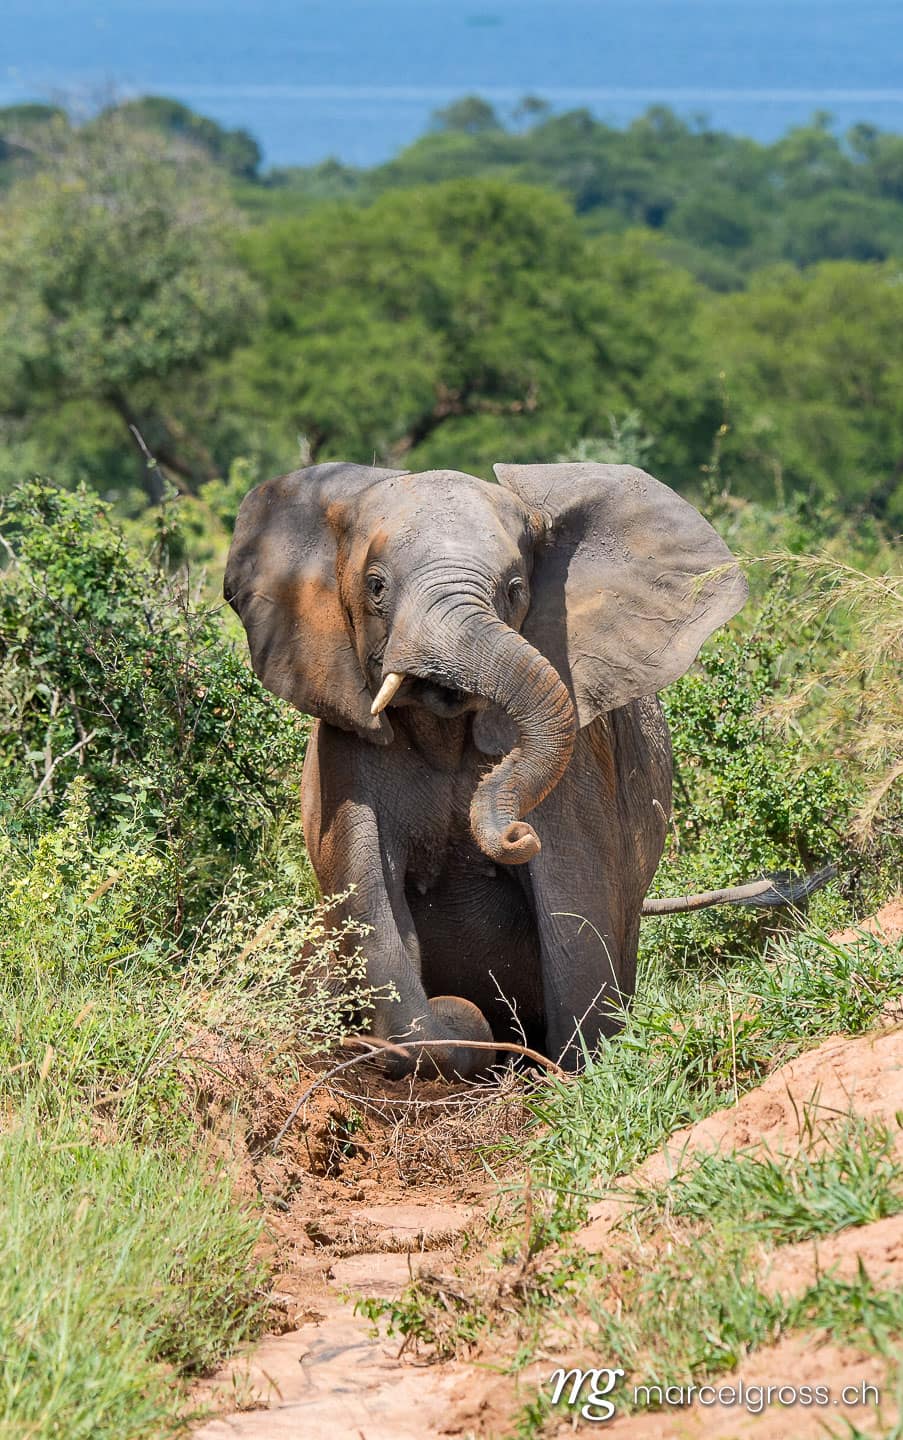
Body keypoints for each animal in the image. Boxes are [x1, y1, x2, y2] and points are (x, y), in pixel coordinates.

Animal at [224, 460, 748, 1078]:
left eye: (516, 590)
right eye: (376, 587)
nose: (514, 832)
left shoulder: (580, 758)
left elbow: (575, 895)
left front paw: (575, 1072)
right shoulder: (345, 744)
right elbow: (368, 895)